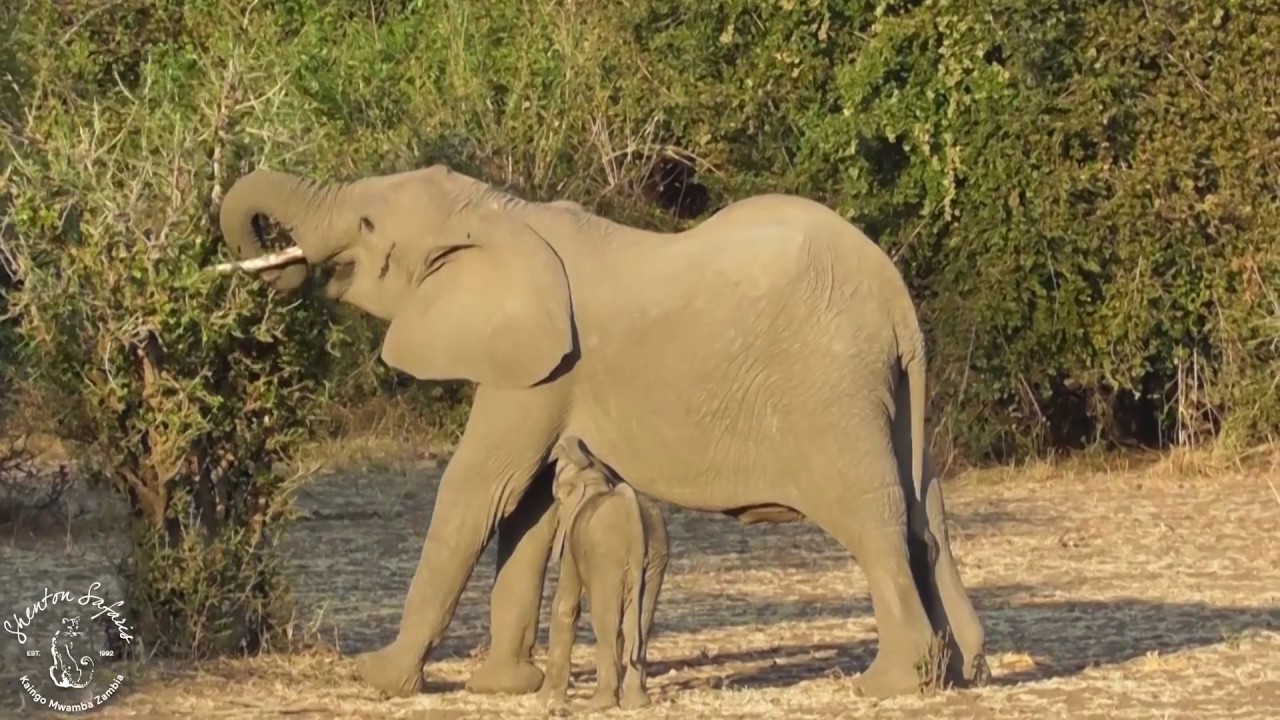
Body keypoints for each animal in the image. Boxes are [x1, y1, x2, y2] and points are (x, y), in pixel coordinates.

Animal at [537, 435, 669, 710]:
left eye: (557, 498)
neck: (593, 480)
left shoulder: (572, 543)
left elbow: (566, 606)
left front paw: (543, 700)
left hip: (607, 557)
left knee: (606, 620)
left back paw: (600, 704)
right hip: (656, 555)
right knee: (640, 623)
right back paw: (637, 703)